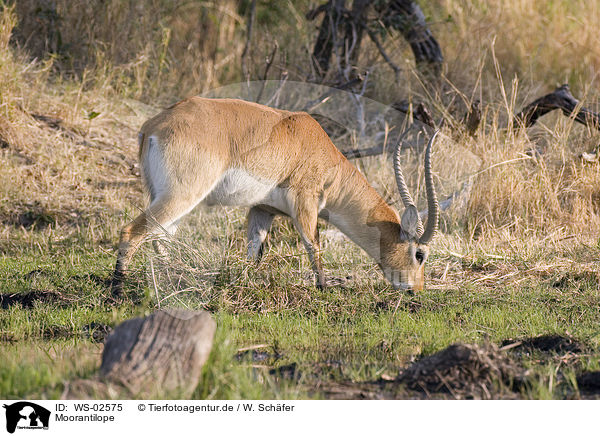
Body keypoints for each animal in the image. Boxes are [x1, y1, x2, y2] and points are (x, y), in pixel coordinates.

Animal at [111, 97, 440, 296]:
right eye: (419, 254)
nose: (417, 290)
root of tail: (153, 126)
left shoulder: (262, 210)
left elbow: (253, 252)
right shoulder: (305, 204)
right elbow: (313, 247)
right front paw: (324, 289)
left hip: (169, 199)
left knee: (160, 238)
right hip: (181, 195)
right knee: (132, 232)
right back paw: (117, 291)